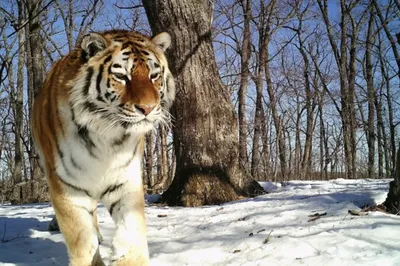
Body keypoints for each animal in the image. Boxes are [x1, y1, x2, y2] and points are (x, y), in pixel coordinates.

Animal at [31, 29, 175, 266]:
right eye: (122, 77)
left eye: (154, 76)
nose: (148, 108)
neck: (107, 138)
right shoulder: (67, 186)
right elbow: (82, 241)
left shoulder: (126, 179)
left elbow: (132, 229)